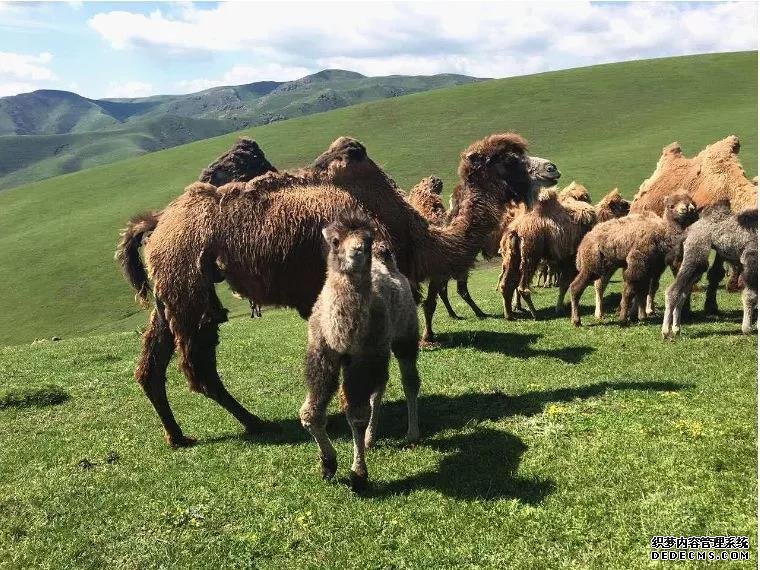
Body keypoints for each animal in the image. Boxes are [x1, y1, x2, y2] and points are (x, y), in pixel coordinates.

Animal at [119, 132, 560, 444]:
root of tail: (156, 224)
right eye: (509, 158)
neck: (409, 229)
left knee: (151, 365)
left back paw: (179, 436)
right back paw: (254, 423)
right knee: (198, 366)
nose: (551, 168)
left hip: (170, 290)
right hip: (189, 285)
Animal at [300, 209, 422, 488]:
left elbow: (356, 415)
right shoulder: (323, 355)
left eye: (366, 240)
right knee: (379, 389)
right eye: (335, 241)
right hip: (379, 351)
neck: (342, 335)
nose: (356, 252)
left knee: (409, 381)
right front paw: (328, 464)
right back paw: (370, 438)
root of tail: (388, 263)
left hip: (404, 334)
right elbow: (311, 413)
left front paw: (358, 473)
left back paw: (412, 433)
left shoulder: (364, 357)